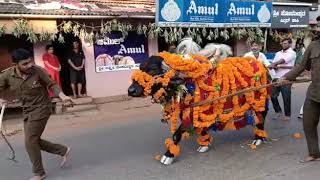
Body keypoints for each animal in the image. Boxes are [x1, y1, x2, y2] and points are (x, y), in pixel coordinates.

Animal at [127, 38, 270, 165]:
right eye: (140, 68)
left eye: (152, 69)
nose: (131, 90)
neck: (188, 82)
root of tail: (261, 65)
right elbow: (201, 128)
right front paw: (205, 143)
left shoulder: (190, 114)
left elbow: (177, 134)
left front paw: (168, 155)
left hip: (260, 101)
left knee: (261, 116)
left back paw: (259, 137)